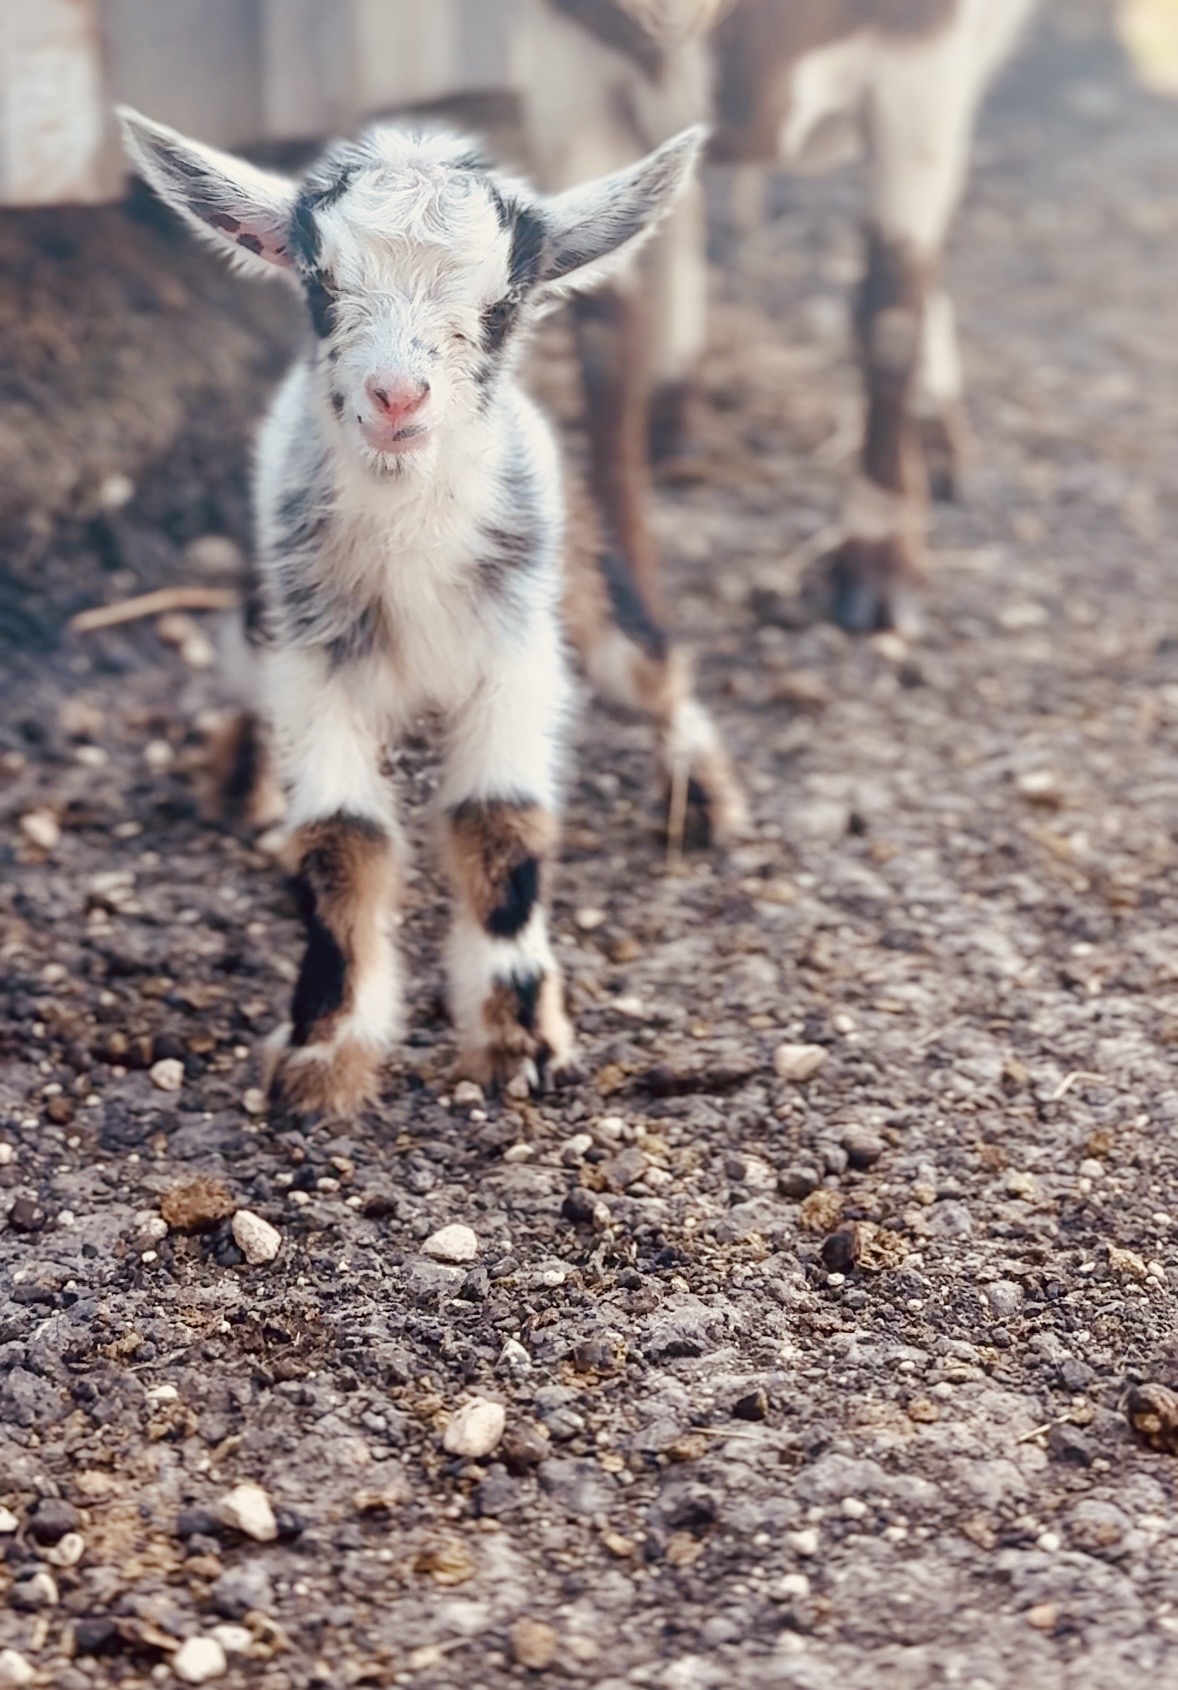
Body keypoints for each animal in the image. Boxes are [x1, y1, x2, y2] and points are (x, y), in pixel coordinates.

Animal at [118, 109, 745, 1117]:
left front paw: (521, 1040)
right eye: (320, 281)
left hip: (584, 585)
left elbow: (499, 825)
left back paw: (702, 792)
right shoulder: (312, 667)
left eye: (505, 302)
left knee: (652, 666)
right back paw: (239, 783)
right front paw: (323, 1051)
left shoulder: (517, 660)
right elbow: (343, 839)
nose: (397, 398)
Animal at [520, 0, 1037, 631]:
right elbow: (606, 342)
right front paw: (620, 595)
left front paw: (880, 567)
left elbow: (892, 313)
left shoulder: (924, 72)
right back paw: (678, 420)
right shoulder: (572, 72)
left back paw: (938, 442)